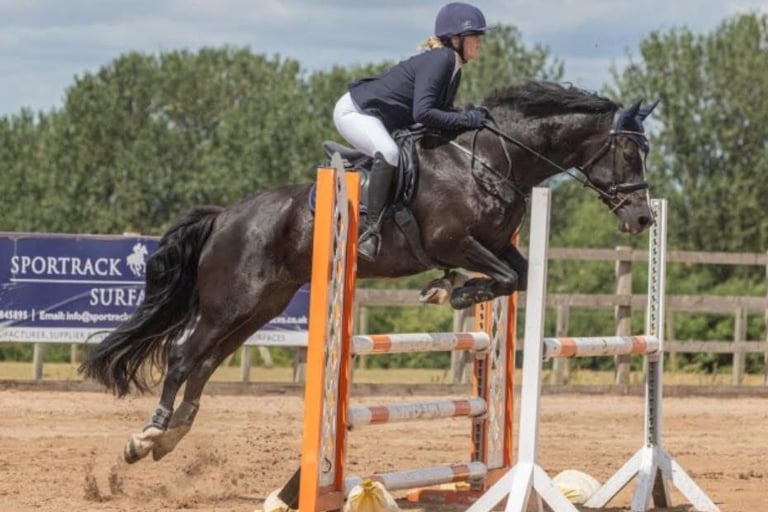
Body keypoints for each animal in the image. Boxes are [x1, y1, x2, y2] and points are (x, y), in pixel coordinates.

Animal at [79, 81, 657, 478]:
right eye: (629, 151)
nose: (643, 219)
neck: (494, 161)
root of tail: (225, 216)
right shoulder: (453, 241)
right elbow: (499, 276)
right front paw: (454, 290)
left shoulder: (497, 245)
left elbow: (515, 276)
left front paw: (455, 290)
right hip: (231, 301)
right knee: (183, 356)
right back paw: (147, 436)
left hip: (262, 305)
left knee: (204, 363)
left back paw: (171, 438)